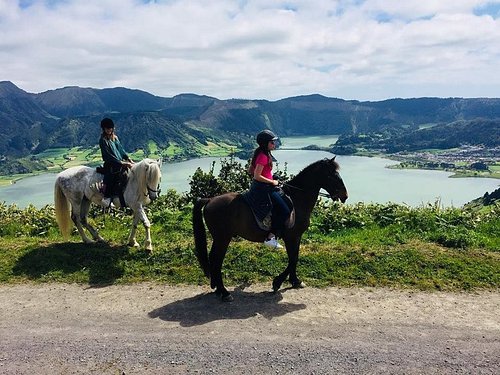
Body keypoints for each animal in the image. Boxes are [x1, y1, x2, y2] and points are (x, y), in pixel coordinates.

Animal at [191, 156, 348, 302]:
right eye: (332, 175)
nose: (345, 196)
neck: (297, 199)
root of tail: (210, 200)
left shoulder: (296, 237)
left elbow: (294, 258)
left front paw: (295, 281)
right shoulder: (292, 236)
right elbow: (293, 258)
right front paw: (277, 282)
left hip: (220, 238)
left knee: (213, 259)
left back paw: (218, 289)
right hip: (223, 238)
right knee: (216, 260)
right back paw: (224, 292)